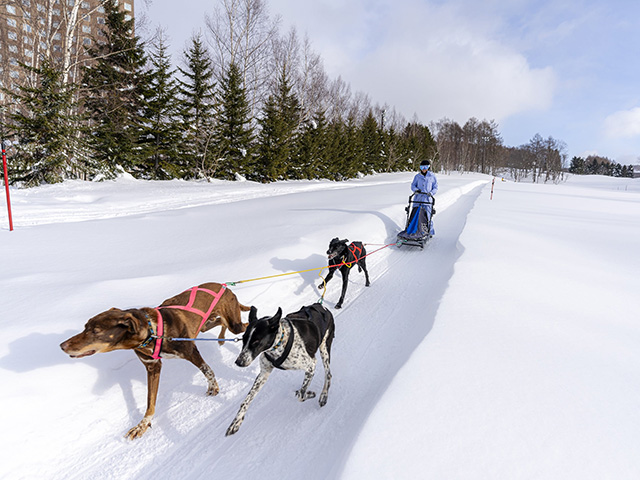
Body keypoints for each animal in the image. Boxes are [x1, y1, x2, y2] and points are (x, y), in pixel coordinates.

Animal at [60, 284, 250, 440]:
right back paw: (221, 338)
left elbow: (207, 370)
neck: (153, 332)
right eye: (85, 327)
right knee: (220, 322)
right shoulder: (152, 367)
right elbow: (150, 401)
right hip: (204, 326)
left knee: (244, 324)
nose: (62, 346)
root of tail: (225, 286)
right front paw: (142, 425)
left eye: (95, 331)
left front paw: (213, 386)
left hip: (234, 323)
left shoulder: (190, 352)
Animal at [225, 306, 336, 436]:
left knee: (328, 374)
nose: (239, 362)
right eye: (243, 339)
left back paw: (323, 396)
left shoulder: (311, 365)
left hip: (325, 348)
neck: (280, 342)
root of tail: (321, 306)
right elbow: (246, 401)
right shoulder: (264, 373)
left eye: (256, 341)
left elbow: (301, 394)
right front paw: (236, 422)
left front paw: (310, 393)